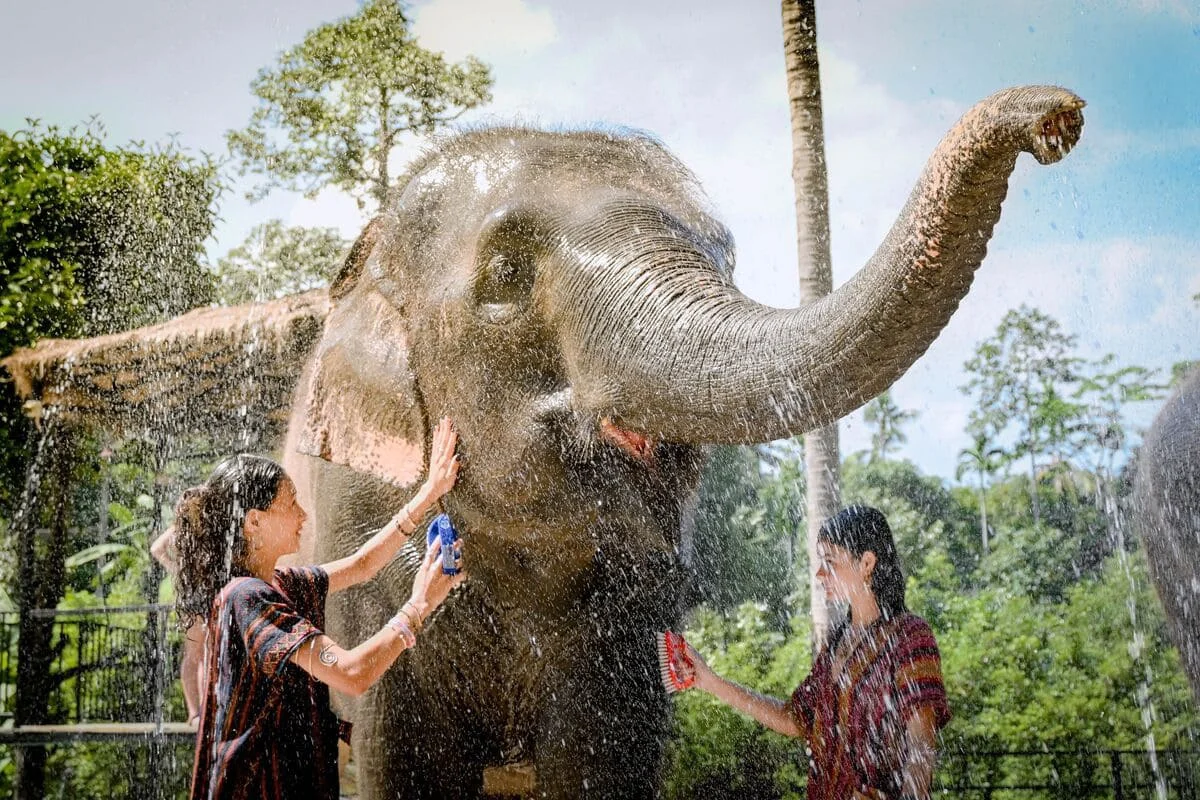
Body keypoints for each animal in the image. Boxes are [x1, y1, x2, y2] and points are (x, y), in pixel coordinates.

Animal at [0, 85, 1086, 798]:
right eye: (507, 275)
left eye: (726, 256)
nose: (1057, 120)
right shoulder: (353, 542)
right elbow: (394, 751)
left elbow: (600, 757)